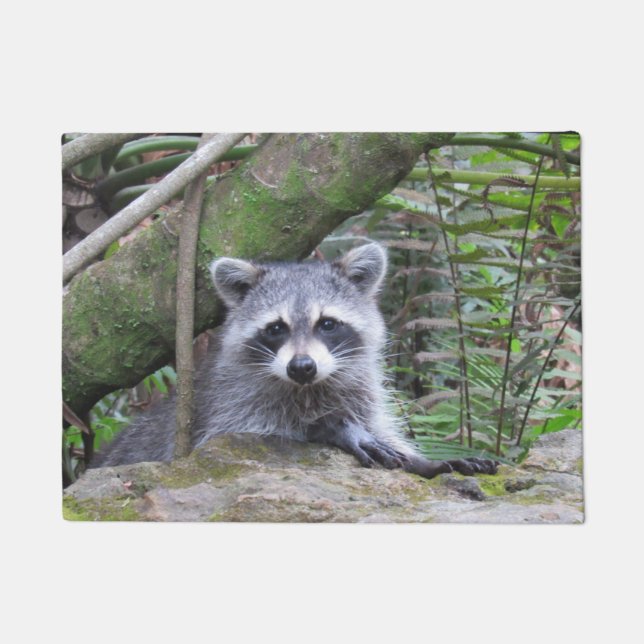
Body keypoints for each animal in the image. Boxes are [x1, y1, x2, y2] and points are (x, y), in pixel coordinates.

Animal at [90, 243, 497, 479]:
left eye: (327, 324)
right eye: (276, 328)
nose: (302, 366)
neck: (309, 388)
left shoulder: (359, 392)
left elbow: (380, 428)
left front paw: (421, 461)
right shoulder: (228, 403)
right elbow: (246, 434)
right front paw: (332, 427)